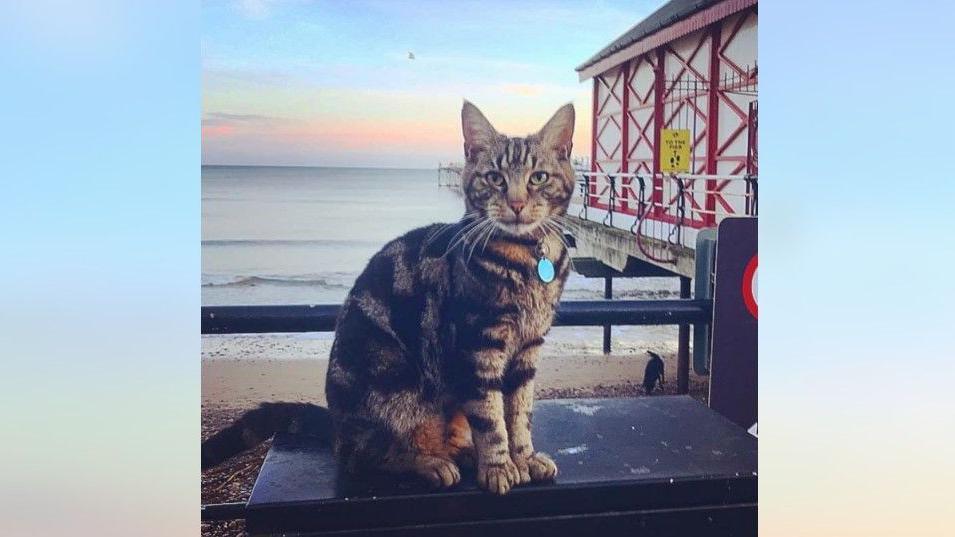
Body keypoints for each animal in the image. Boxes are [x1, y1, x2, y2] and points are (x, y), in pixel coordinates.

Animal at [202, 100, 576, 494]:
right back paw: (430, 464)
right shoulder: (478, 347)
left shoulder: (527, 351)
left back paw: (461, 453)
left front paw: (524, 457)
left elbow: (519, 414)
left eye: (538, 178)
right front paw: (499, 466)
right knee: (364, 459)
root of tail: (337, 428)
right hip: (394, 382)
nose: (517, 203)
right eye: (495, 178)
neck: (527, 259)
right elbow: (491, 418)